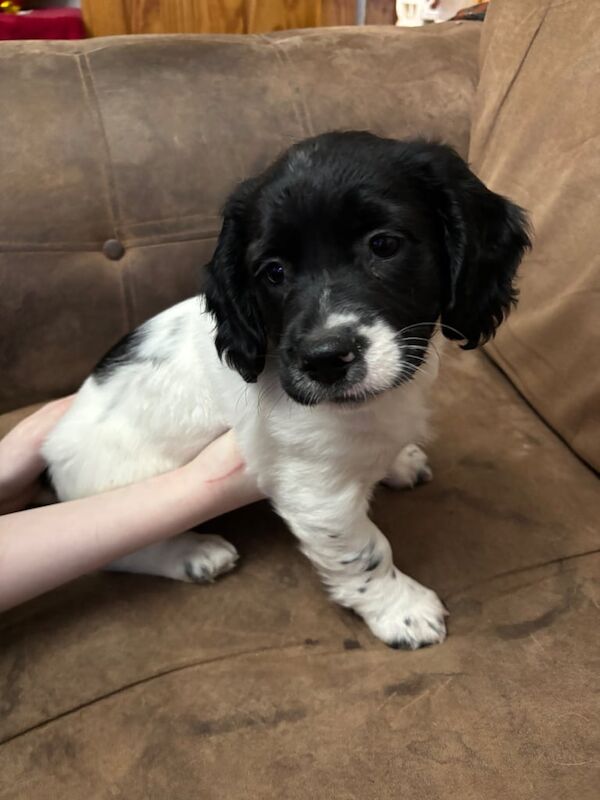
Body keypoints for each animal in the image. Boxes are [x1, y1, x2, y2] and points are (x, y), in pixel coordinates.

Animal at [43, 133, 528, 648]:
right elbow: (366, 551)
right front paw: (402, 610)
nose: (324, 359)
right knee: (121, 551)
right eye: (272, 272)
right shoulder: (315, 492)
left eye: (384, 245)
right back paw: (194, 554)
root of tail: (52, 452)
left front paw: (398, 461)